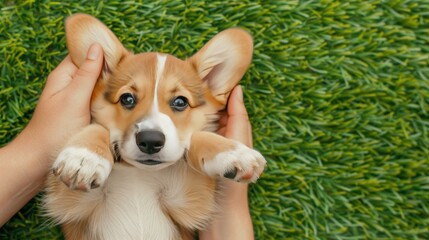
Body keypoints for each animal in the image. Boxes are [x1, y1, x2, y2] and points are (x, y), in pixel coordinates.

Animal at [43, 13, 264, 240]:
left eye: (180, 102)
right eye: (127, 99)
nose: (150, 141)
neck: (139, 173)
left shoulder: (189, 200)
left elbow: (195, 138)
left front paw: (233, 153)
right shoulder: (69, 203)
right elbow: (98, 129)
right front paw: (84, 158)